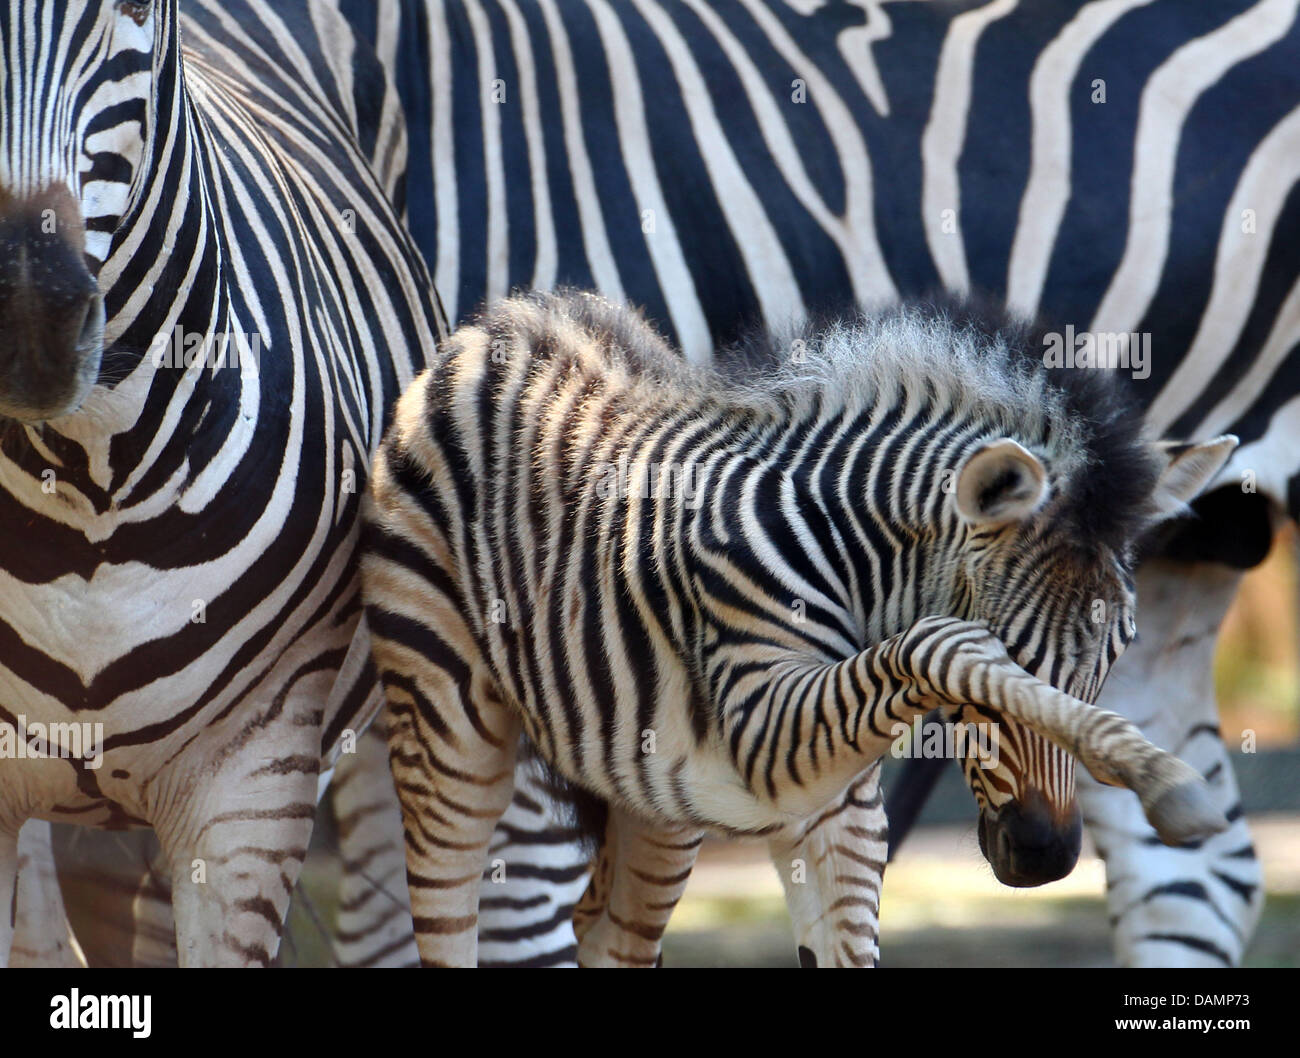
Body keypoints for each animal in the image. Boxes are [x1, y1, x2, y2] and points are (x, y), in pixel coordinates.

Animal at [364, 292, 1227, 967]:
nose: (1046, 858)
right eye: (1007, 647)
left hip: (654, 794)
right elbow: (941, 644)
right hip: (448, 726)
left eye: (1114, 654)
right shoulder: (763, 731)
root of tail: (499, 321)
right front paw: (1163, 776)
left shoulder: (842, 814)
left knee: (608, 933)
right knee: (446, 918)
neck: (848, 560)